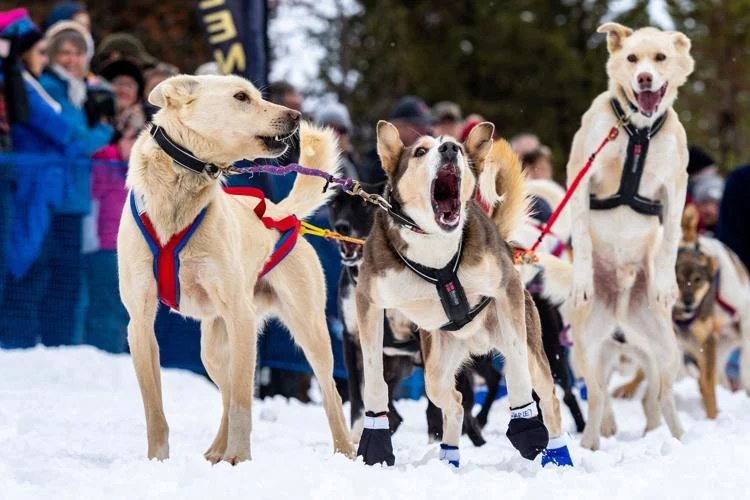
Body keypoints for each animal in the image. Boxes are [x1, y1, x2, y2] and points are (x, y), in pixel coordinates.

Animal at [568, 23, 696, 450]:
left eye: (660, 58)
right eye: (632, 59)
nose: (643, 78)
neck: (638, 132)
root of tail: (621, 310)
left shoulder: (676, 185)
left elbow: (670, 237)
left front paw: (666, 284)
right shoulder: (582, 172)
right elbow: (580, 234)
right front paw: (581, 279)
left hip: (667, 352)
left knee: (664, 396)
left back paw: (677, 439)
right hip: (586, 353)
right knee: (596, 400)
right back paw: (589, 445)